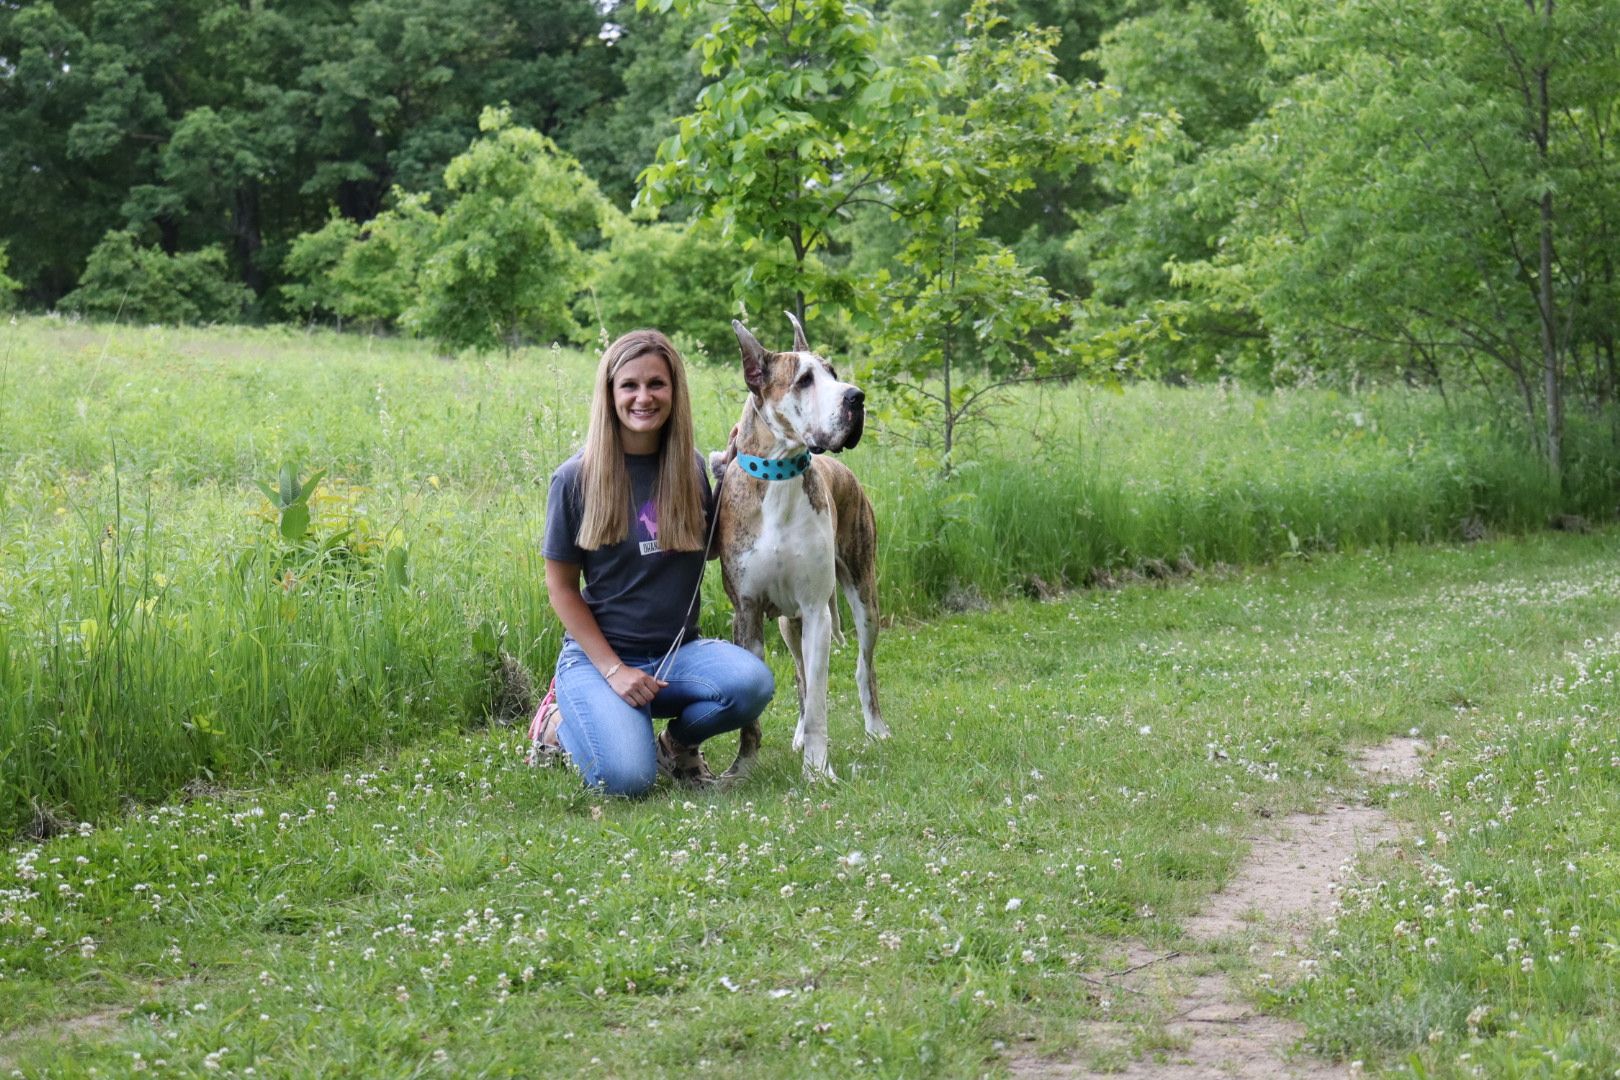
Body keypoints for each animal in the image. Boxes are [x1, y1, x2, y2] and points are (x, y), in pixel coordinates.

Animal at [708, 314, 888, 780]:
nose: (856, 397)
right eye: (804, 380)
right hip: (790, 625)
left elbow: (823, 701)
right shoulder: (747, 612)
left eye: (834, 372)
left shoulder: (815, 610)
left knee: (864, 668)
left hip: (862, 595)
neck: (780, 474)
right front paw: (743, 767)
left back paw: (876, 728)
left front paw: (818, 770)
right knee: (801, 679)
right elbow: (760, 709)